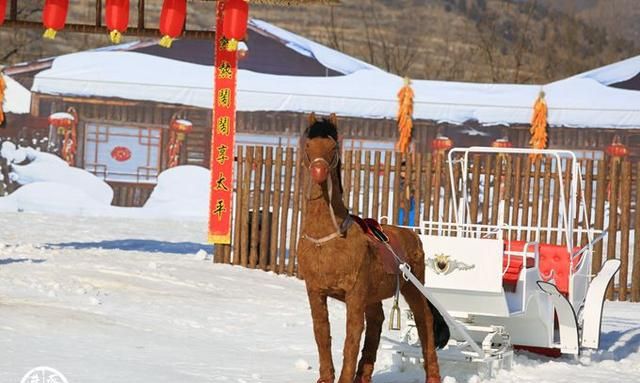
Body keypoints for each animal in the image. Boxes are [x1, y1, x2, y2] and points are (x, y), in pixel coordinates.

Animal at [296, 114, 450, 383]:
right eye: (308, 145)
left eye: (333, 147)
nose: (319, 171)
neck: (327, 240)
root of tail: (413, 235)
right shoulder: (315, 291)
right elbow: (322, 334)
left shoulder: (355, 296)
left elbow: (351, 340)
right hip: (374, 295)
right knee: (377, 321)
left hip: (413, 287)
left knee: (425, 322)